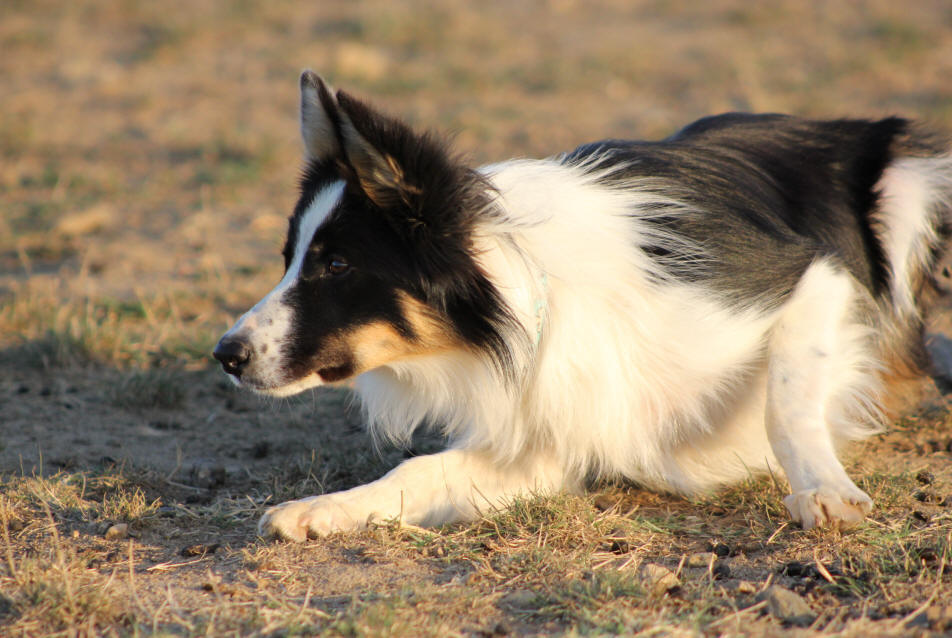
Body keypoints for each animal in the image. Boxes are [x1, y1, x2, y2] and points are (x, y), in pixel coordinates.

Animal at [214, 72, 952, 544]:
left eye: (336, 265)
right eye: (289, 257)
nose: (224, 354)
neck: (526, 295)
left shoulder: (811, 275)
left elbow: (788, 396)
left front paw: (822, 489)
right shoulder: (549, 437)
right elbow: (419, 471)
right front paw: (321, 509)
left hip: (906, 188)